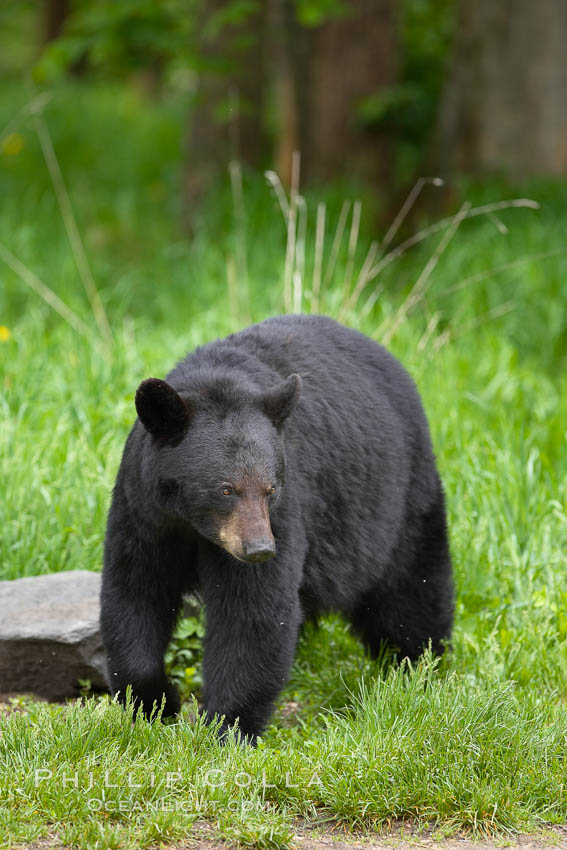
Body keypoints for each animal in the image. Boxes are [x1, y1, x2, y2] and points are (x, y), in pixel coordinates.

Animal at [102, 314, 454, 740]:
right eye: (225, 488)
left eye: (270, 488)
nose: (259, 549)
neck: (192, 524)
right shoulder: (143, 513)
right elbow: (134, 592)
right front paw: (155, 702)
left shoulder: (284, 514)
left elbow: (252, 614)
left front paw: (226, 726)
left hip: (397, 499)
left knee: (411, 586)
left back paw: (417, 667)